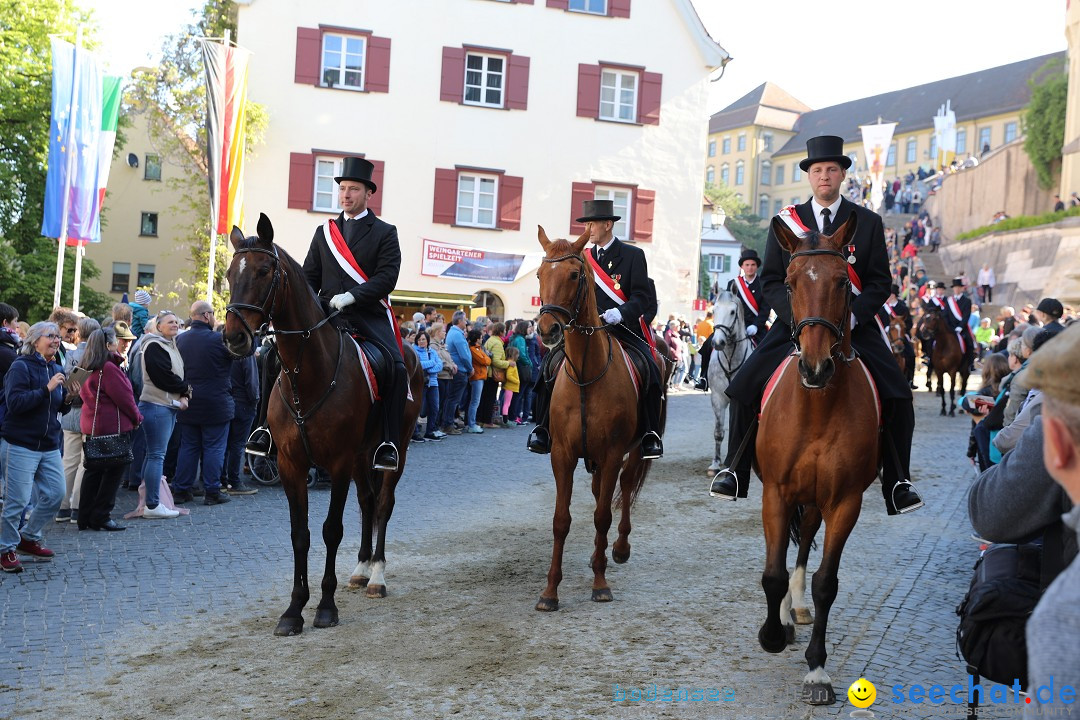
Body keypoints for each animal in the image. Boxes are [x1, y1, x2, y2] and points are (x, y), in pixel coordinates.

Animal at [220, 213, 421, 634]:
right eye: (230, 273)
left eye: (264, 271)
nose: (234, 338)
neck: (308, 374)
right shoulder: (290, 463)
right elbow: (300, 534)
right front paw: (294, 609)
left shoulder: (338, 462)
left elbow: (331, 530)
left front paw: (326, 607)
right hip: (362, 455)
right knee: (367, 501)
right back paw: (361, 569)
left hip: (394, 448)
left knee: (383, 502)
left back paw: (377, 576)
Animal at [531, 227, 665, 613]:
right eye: (539, 274)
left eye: (575, 275)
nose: (547, 330)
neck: (587, 375)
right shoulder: (562, 454)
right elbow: (561, 521)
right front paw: (550, 591)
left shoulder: (611, 454)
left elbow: (603, 515)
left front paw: (601, 585)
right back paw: (597, 556)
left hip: (633, 451)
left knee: (626, 488)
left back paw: (617, 550)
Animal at [756, 216, 881, 708]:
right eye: (790, 283)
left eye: (843, 282)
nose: (815, 367)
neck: (817, 408)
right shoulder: (775, 492)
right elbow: (771, 572)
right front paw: (772, 634)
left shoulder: (845, 502)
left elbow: (826, 581)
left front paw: (817, 670)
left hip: (814, 501)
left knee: (805, 542)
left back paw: (797, 608)